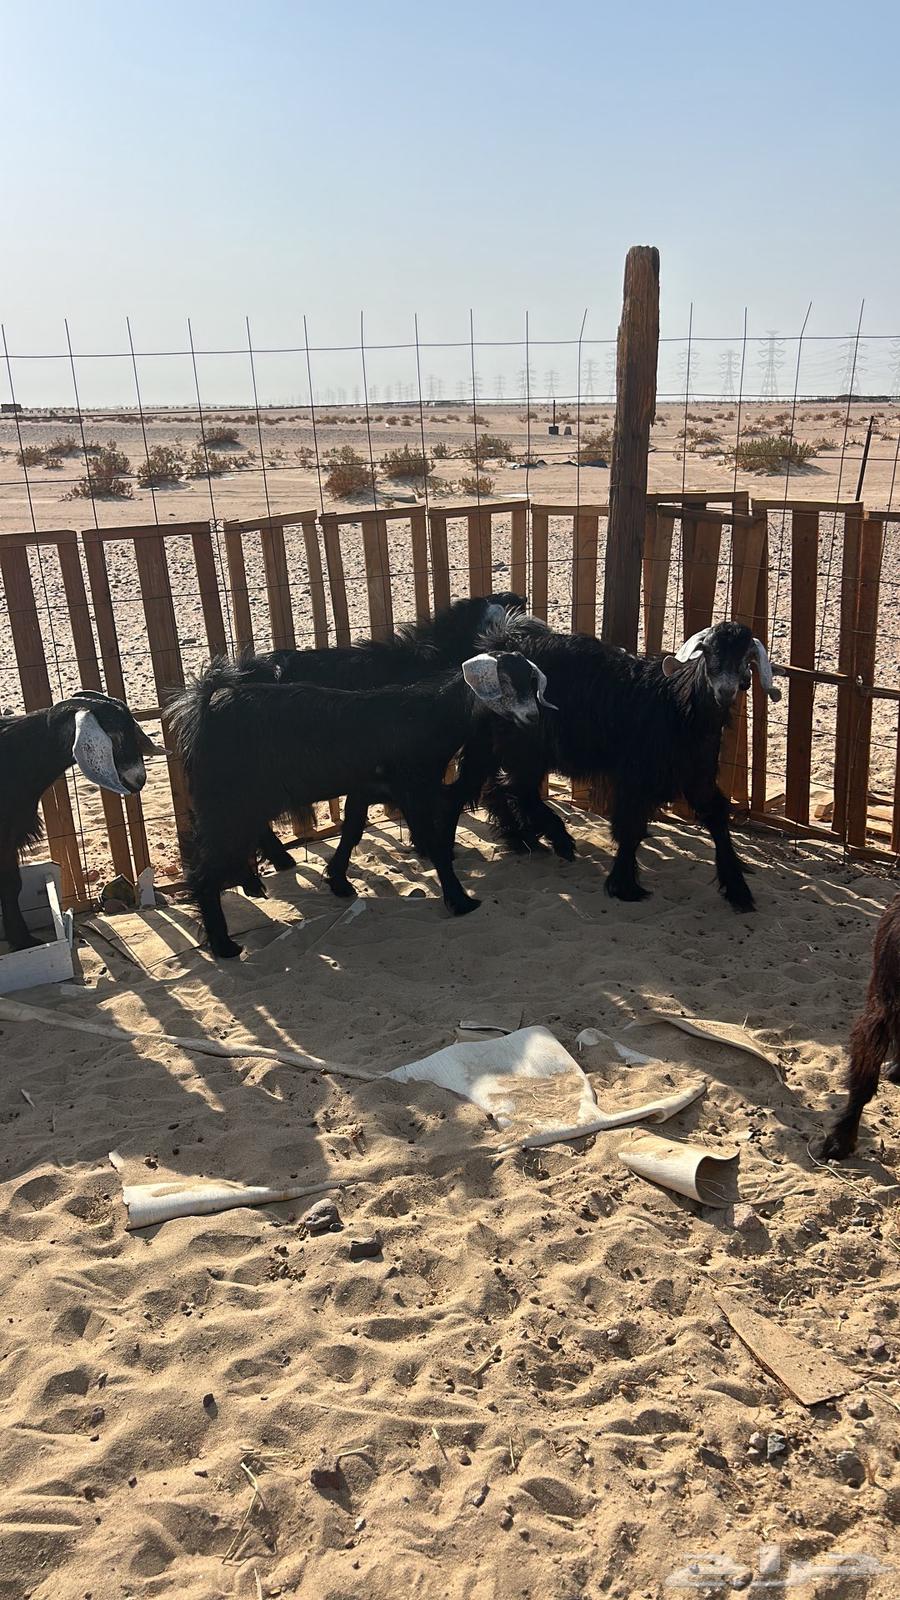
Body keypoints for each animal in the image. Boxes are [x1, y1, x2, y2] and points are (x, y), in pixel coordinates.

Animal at [170, 651, 553, 959]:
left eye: (532, 680)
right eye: (505, 683)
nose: (533, 718)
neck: (428, 717)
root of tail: (205, 709)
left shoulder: (365, 789)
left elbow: (352, 831)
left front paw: (338, 881)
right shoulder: (414, 790)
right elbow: (436, 845)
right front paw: (461, 901)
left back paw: (253, 884)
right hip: (227, 802)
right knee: (205, 869)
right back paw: (224, 945)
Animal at [479, 618, 781, 909]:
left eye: (746, 658)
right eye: (707, 652)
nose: (725, 690)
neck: (677, 705)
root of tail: (503, 645)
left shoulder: (698, 778)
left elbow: (717, 815)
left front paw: (738, 891)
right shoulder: (636, 777)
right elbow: (630, 826)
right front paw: (624, 885)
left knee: (501, 788)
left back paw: (522, 838)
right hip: (525, 745)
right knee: (517, 789)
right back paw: (556, 839)